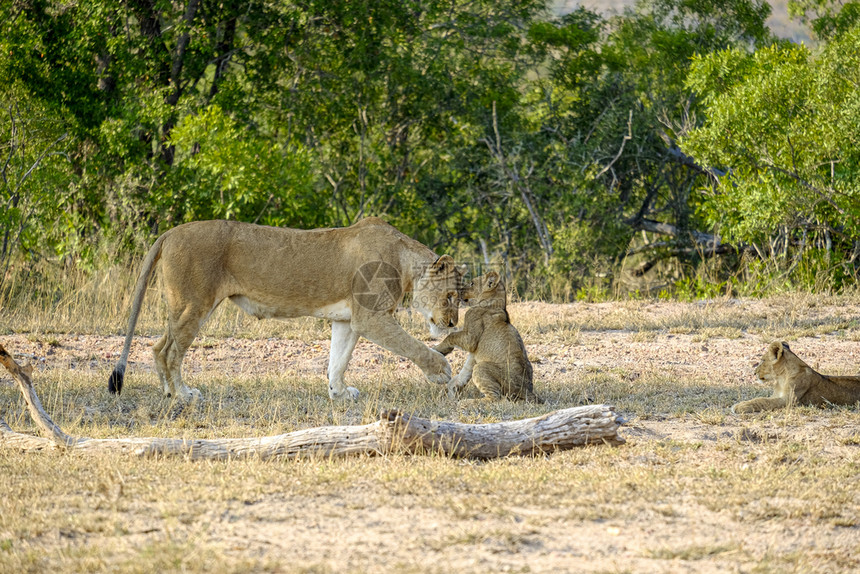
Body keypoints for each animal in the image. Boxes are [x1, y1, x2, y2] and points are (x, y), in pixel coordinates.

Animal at [111, 218, 466, 402]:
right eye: (451, 296)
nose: (451, 324)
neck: (405, 263)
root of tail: (171, 231)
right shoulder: (371, 318)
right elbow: (413, 346)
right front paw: (442, 371)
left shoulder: (348, 320)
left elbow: (338, 360)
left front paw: (339, 393)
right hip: (195, 304)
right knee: (171, 351)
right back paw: (184, 394)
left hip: (184, 305)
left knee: (159, 347)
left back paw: (167, 391)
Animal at [436, 272, 536, 402]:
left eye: (472, 283)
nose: (459, 290)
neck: (494, 304)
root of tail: (528, 391)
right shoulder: (475, 353)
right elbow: (465, 371)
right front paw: (451, 391)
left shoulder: (471, 339)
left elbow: (451, 336)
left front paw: (438, 349)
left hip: (481, 367)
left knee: (495, 398)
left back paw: (467, 402)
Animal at [728, 342, 860, 414]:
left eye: (762, 360)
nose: (754, 372)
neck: (781, 378)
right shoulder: (777, 396)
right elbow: (760, 399)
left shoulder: (788, 401)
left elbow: (762, 401)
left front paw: (740, 406)